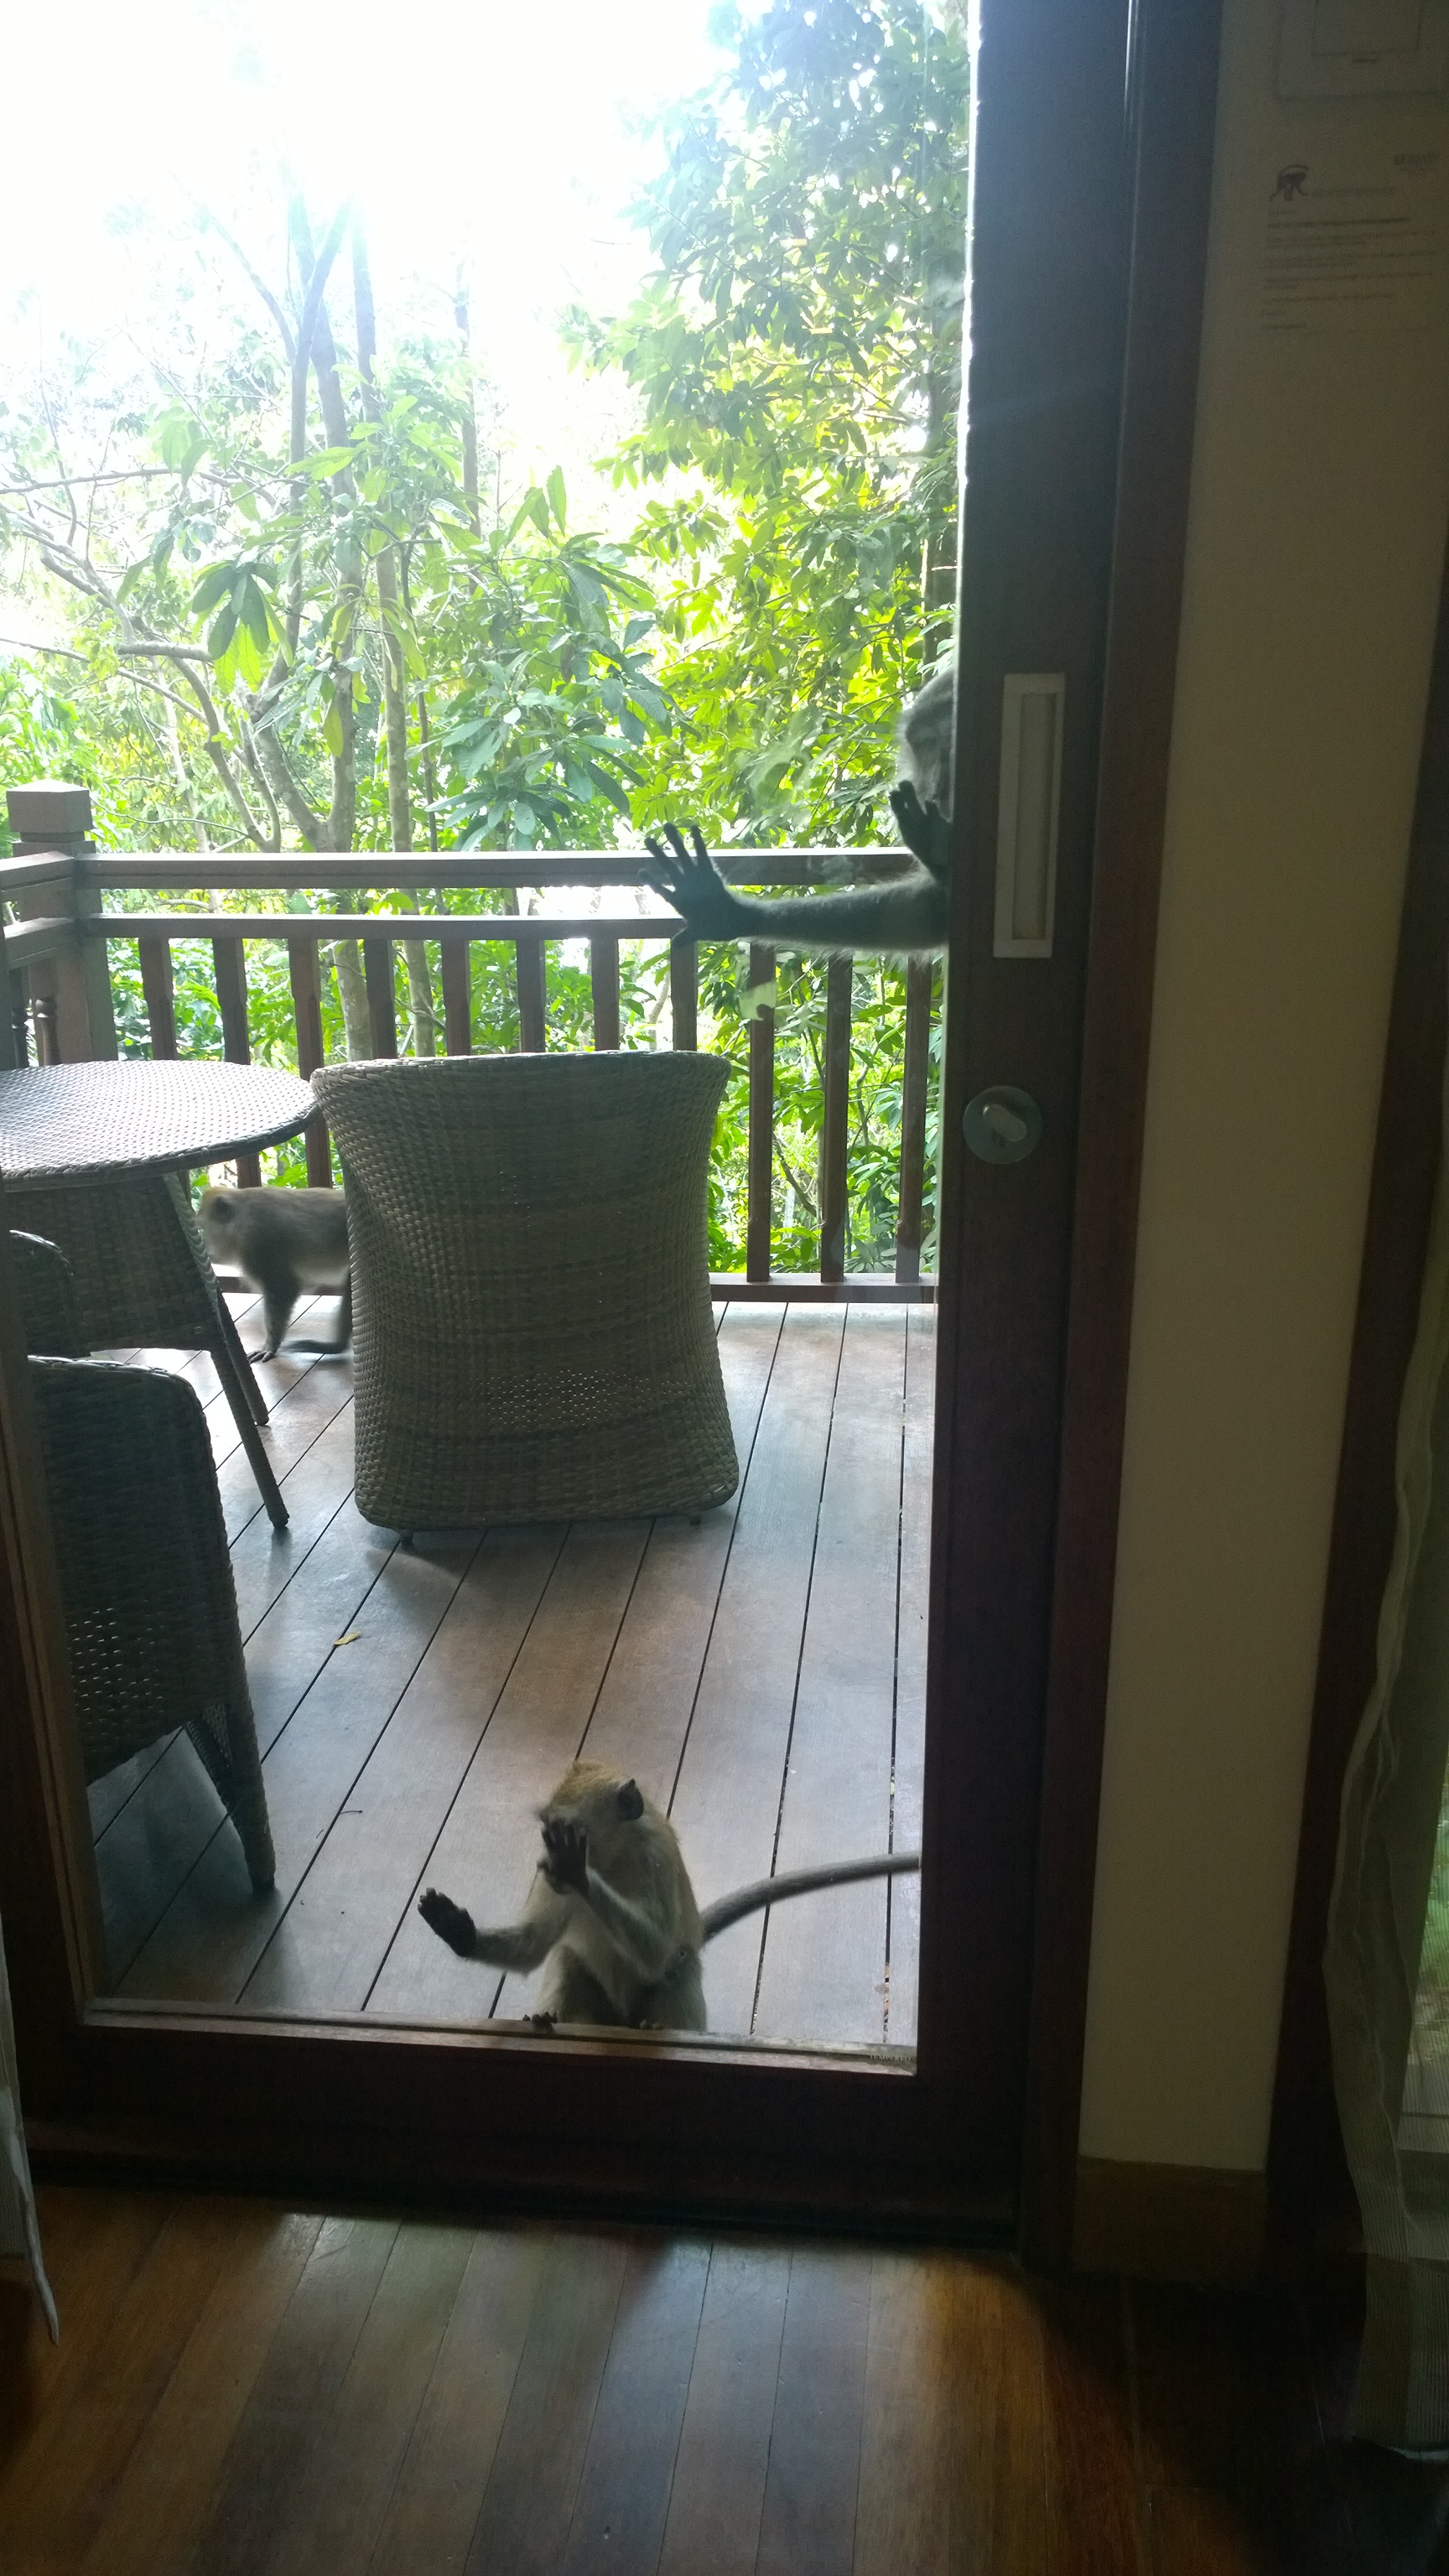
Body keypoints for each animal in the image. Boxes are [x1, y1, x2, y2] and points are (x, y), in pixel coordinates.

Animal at [197, 1185, 351, 1370]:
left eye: (204, 1227)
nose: (204, 1241)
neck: (243, 1216)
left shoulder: (259, 1242)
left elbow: (284, 1289)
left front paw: (271, 1345)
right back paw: (338, 1346)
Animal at [415, 1751, 912, 2029]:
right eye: (547, 1833)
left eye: (567, 1834)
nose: (550, 1865)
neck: (614, 1857)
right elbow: (534, 1944)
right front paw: (456, 1929)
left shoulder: (652, 1859)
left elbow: (657, 1951)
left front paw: (580, 1875)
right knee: (567, 1957)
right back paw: (545, 2019)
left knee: (680, 1962)